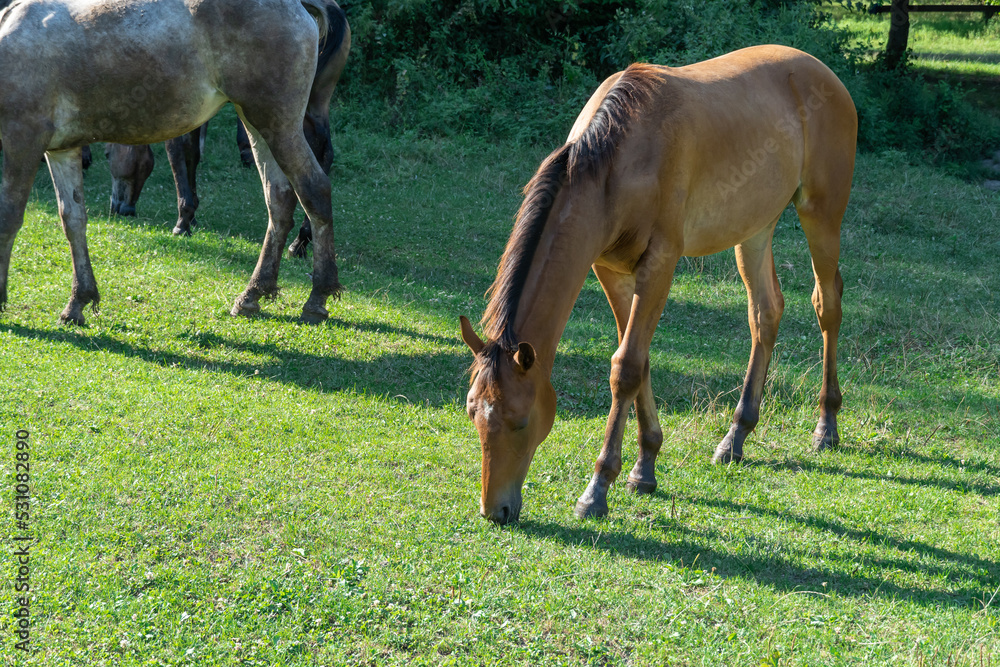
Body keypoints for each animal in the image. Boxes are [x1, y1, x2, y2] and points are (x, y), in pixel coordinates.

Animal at [106, 9, 349, 256]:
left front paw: (183, 220)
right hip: (316, 102)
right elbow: (193, 153)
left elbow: (178, 153)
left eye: (107, 156)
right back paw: (300, 240)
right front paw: (192, 215)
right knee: (324, 152)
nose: (121, 209)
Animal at [460, 45, 857, 524]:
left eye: (519, 421)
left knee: (827, 305)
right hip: (754, 230)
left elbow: (627, 367)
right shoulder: (611, 272)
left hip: (821, 215)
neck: (615, 163)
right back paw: (735, 437)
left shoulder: (660, 265)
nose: (494, 510)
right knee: (766, 313)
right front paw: (644, 467)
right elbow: (640, 361)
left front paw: (598, 489)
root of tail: (823, 72)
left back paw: (826, 426)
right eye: (474, 414)